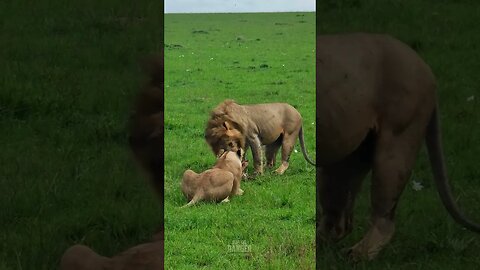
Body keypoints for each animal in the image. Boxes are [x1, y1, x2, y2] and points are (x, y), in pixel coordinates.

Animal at [316, 32, 478, 260]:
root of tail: (425, 67)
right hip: (348, 153)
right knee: (338, 217)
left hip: (398, 138)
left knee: (384, 215)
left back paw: (359, 254)